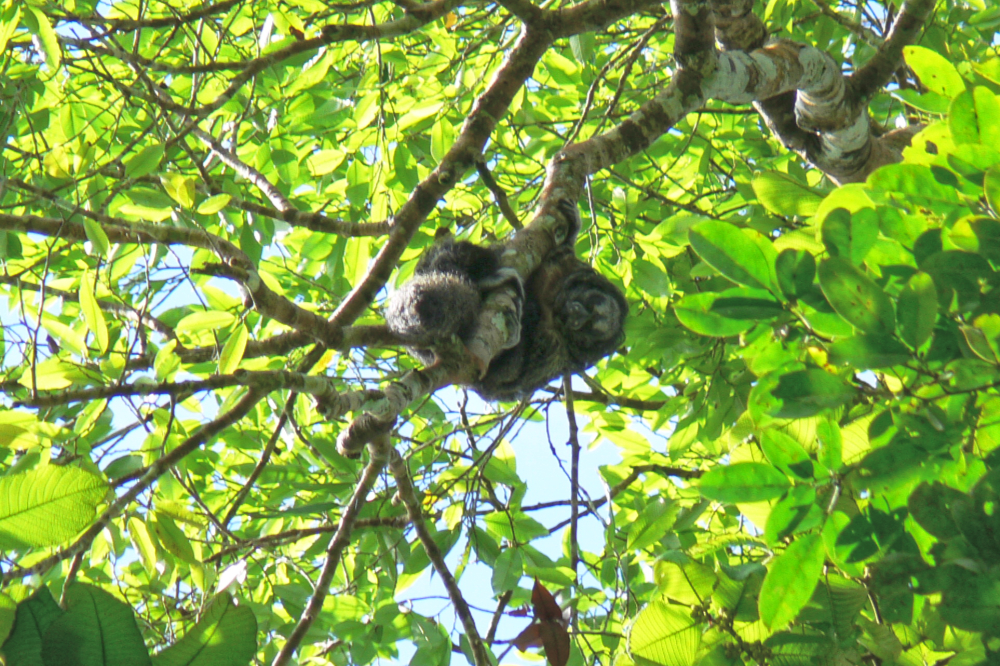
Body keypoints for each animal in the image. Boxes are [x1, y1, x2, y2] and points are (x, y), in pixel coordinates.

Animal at [385, 201, 627, 401]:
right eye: (590, 304)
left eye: (588, 326)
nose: (577, 314)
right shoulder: (563, 267)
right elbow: (557, 251)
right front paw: (570, 230)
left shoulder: (558, 350)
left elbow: (508, 377)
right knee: (455, 254)